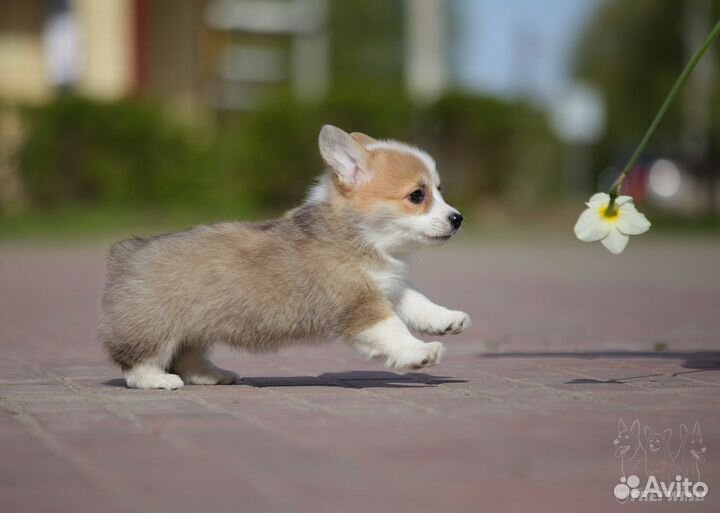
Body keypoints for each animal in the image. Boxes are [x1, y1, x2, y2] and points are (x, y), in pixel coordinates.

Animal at [102, 125, 472, 388]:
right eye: (417, 195)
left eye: (439, 191)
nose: (458, 218)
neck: (362, 238)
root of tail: (127, 252)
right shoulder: (359, 304)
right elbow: (393, 328)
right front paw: (420, 352)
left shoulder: (386, 286)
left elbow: (417, 302)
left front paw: (447, 319)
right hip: (156, 326)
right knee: (137, 361)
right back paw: (157, 380)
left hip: (196, 328)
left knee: (187, 356)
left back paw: (213, 374)